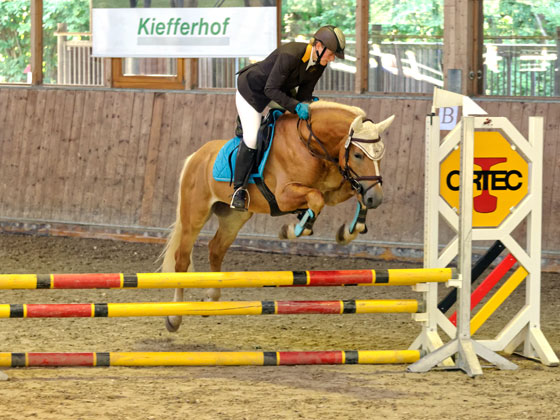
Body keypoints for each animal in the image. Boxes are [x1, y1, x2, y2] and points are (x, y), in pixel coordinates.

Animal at [162, 100, 395, 332]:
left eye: (380, 156)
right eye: (358, 155)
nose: (376, 198)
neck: (311, 144)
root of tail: (197, 155)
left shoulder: (336, 190)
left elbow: (352, 193)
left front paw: (347, 232)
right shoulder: (284, 196)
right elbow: (316, 198)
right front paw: (293, 229)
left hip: (233, 217)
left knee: (216, 249)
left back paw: (211, 298)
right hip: (195, 215)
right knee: (181, 260)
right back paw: (174, 317)